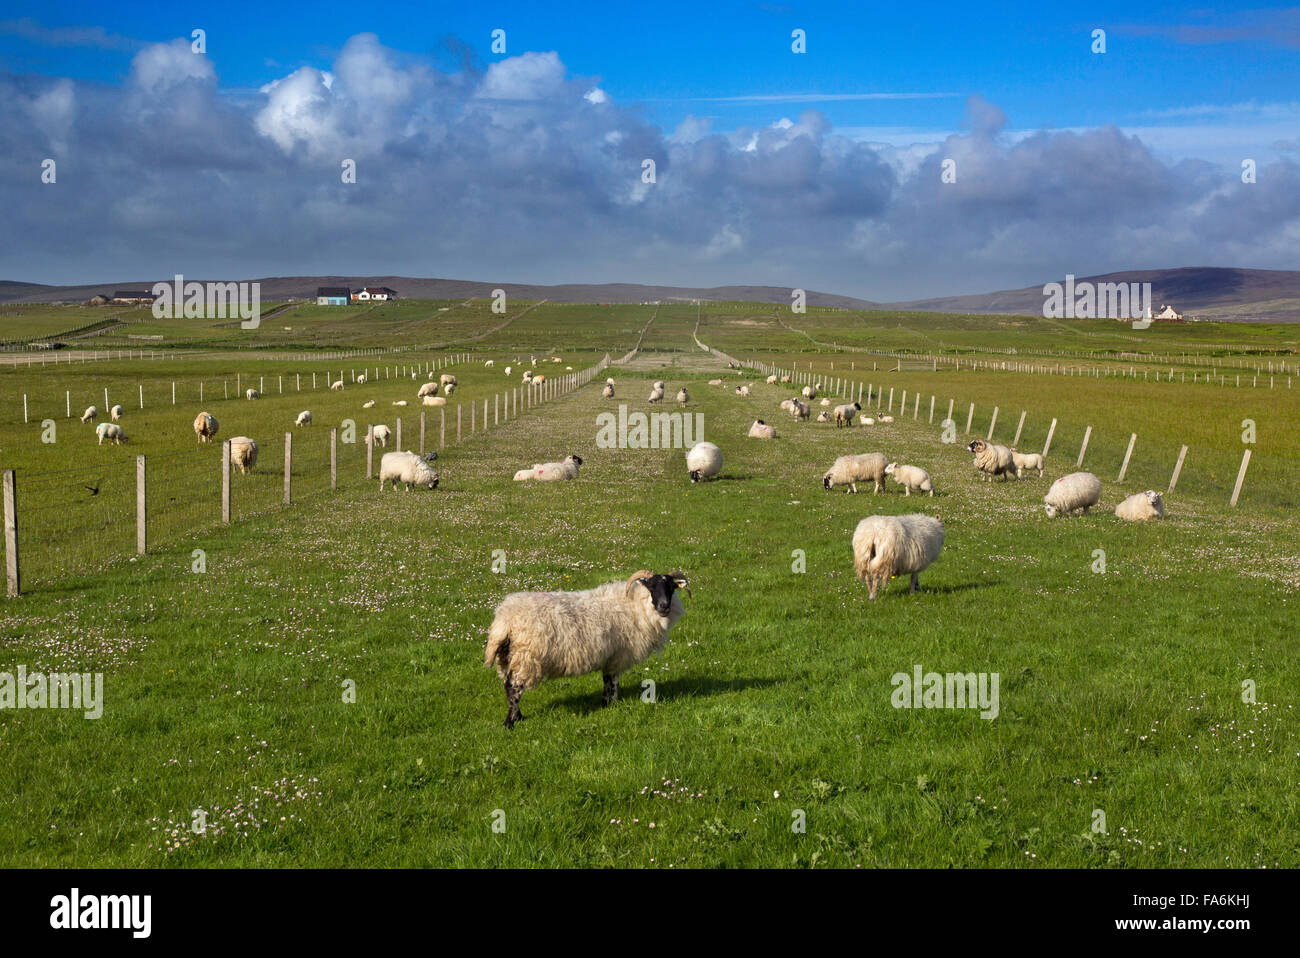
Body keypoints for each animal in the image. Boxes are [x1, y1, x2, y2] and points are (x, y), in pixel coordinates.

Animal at [486, 566, 691, 722]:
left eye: (671, 588)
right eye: (652, 586)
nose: (664, 606)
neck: (633, 604)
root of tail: (504, 618)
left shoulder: (609, 656)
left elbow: (606, 682)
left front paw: (605, 705)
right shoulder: (617, 656)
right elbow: (613, 683)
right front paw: (613, 704)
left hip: (508, 657)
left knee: (508, 686)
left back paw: (518, 717)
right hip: (525, 657)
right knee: (514, 689)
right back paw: (511, 722)